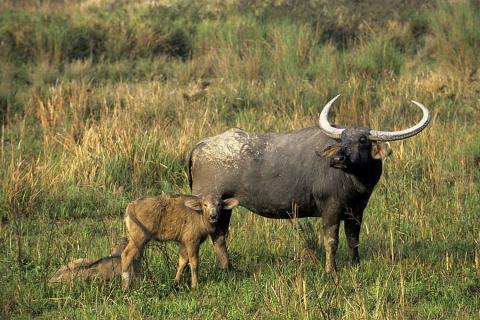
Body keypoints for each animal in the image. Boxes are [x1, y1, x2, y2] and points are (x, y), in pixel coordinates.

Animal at [188, 95, 432, 272]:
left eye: (362, 140)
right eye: (342, 139)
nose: (337, 159)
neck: (352, 182)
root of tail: (200, 146)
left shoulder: (356, 212)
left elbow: (353, 239)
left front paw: (356, 265)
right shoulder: (331, 210)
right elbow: (331, 240)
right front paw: (331, 270)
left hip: (224, 207)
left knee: (219, 236)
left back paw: (228, 268)